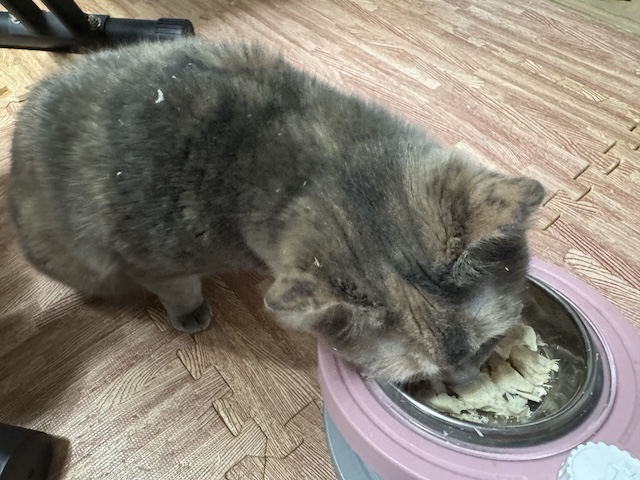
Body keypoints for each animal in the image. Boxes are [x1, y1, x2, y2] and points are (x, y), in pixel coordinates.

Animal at [8, 37, 545, 386]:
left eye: (485, 346)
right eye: (423, 376)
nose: (467, 379)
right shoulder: (155, 258)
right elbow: (177, 287)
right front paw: (189, 312)